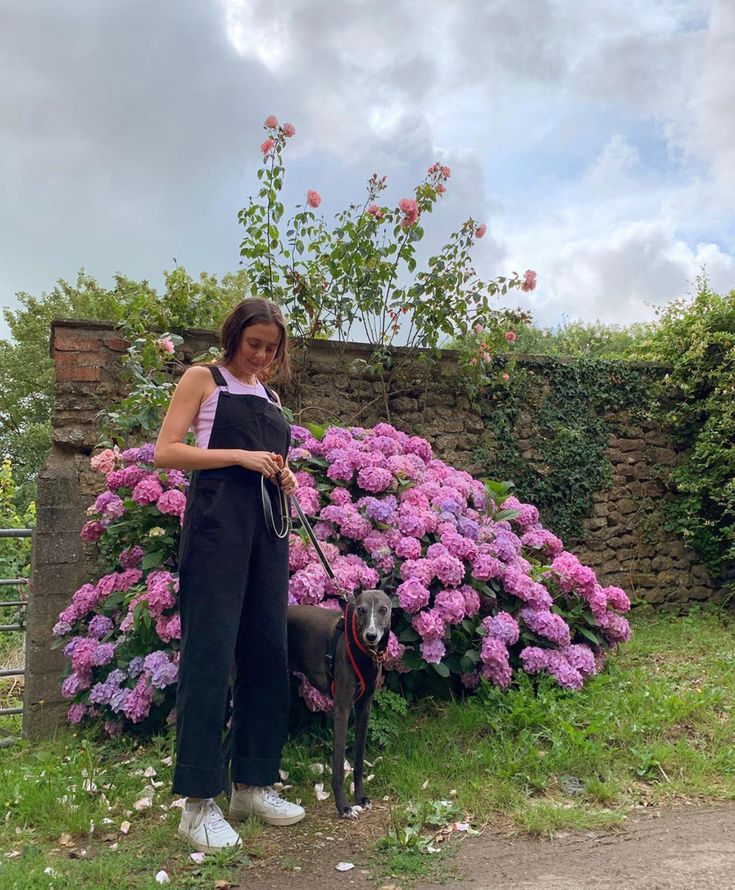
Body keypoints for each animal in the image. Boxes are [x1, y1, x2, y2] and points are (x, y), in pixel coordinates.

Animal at [286, 588, 392, 816]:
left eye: (383, 609)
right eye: (360, 610)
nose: (371, 636)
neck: (364, 652)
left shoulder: (364, 708)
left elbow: (359, 759)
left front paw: (360, 797)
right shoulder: (342, 708)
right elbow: (337, 766)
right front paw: (343, 806)